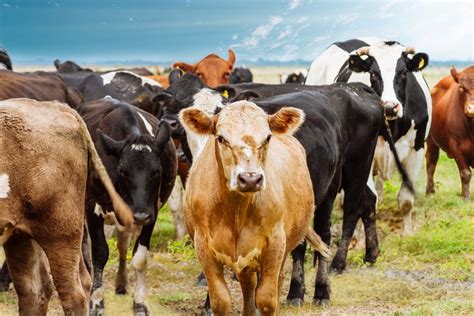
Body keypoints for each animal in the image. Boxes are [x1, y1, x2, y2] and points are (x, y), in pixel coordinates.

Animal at [78, 97, 178, 314]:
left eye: (157, 171)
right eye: (123, 171)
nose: (139, 215)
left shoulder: (151, 212)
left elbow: (140, 258)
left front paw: (140, 303)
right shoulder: (91, 207)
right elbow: (99, 253)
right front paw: (96, 302)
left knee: (122, 244)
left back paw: (121, 283)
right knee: (85, 247)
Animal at [180, 102, 328, 316]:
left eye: (267, 137)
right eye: (221, 138)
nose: (250, 179)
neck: (235, 212)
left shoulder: (275, 244)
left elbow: (266, 299)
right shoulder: (203, 247)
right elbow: (220, 300)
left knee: (275, 280)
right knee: (248, 284)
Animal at [306, 39, 432, 235]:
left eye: (404, 72)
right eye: (373, 73)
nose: (389, 107)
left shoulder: (417, 149)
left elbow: (406, 199)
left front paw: (407, 233)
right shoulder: (364, 155)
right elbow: (363, 201)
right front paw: (359, 238)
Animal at [426, 66, 474, 199]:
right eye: (461, 87)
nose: (471, 108)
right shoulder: (456, 146)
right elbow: (465, 173)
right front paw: (465, 196)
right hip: (431, 141)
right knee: (431, 164)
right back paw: (430, 191)